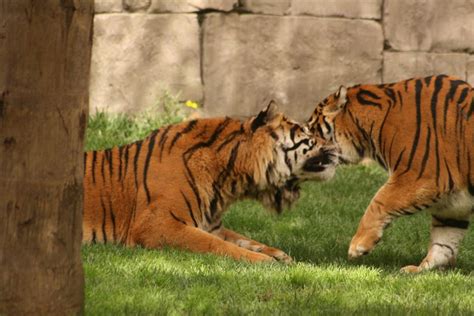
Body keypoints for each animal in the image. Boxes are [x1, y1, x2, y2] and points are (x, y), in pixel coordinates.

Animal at [84, 101, 336, 262]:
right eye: (307, 133)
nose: (334, 146)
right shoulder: (156, 224)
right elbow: (216, 245)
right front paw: (263, 261)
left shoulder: (213, 225)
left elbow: (243, 239)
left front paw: (278, 254)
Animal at [308, 74, 474, 272]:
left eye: (311, 129)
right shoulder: (452, 204)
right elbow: (444, 242)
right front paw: (421, 269)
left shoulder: (420, 177)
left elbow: (379, 202)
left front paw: (358, 245)